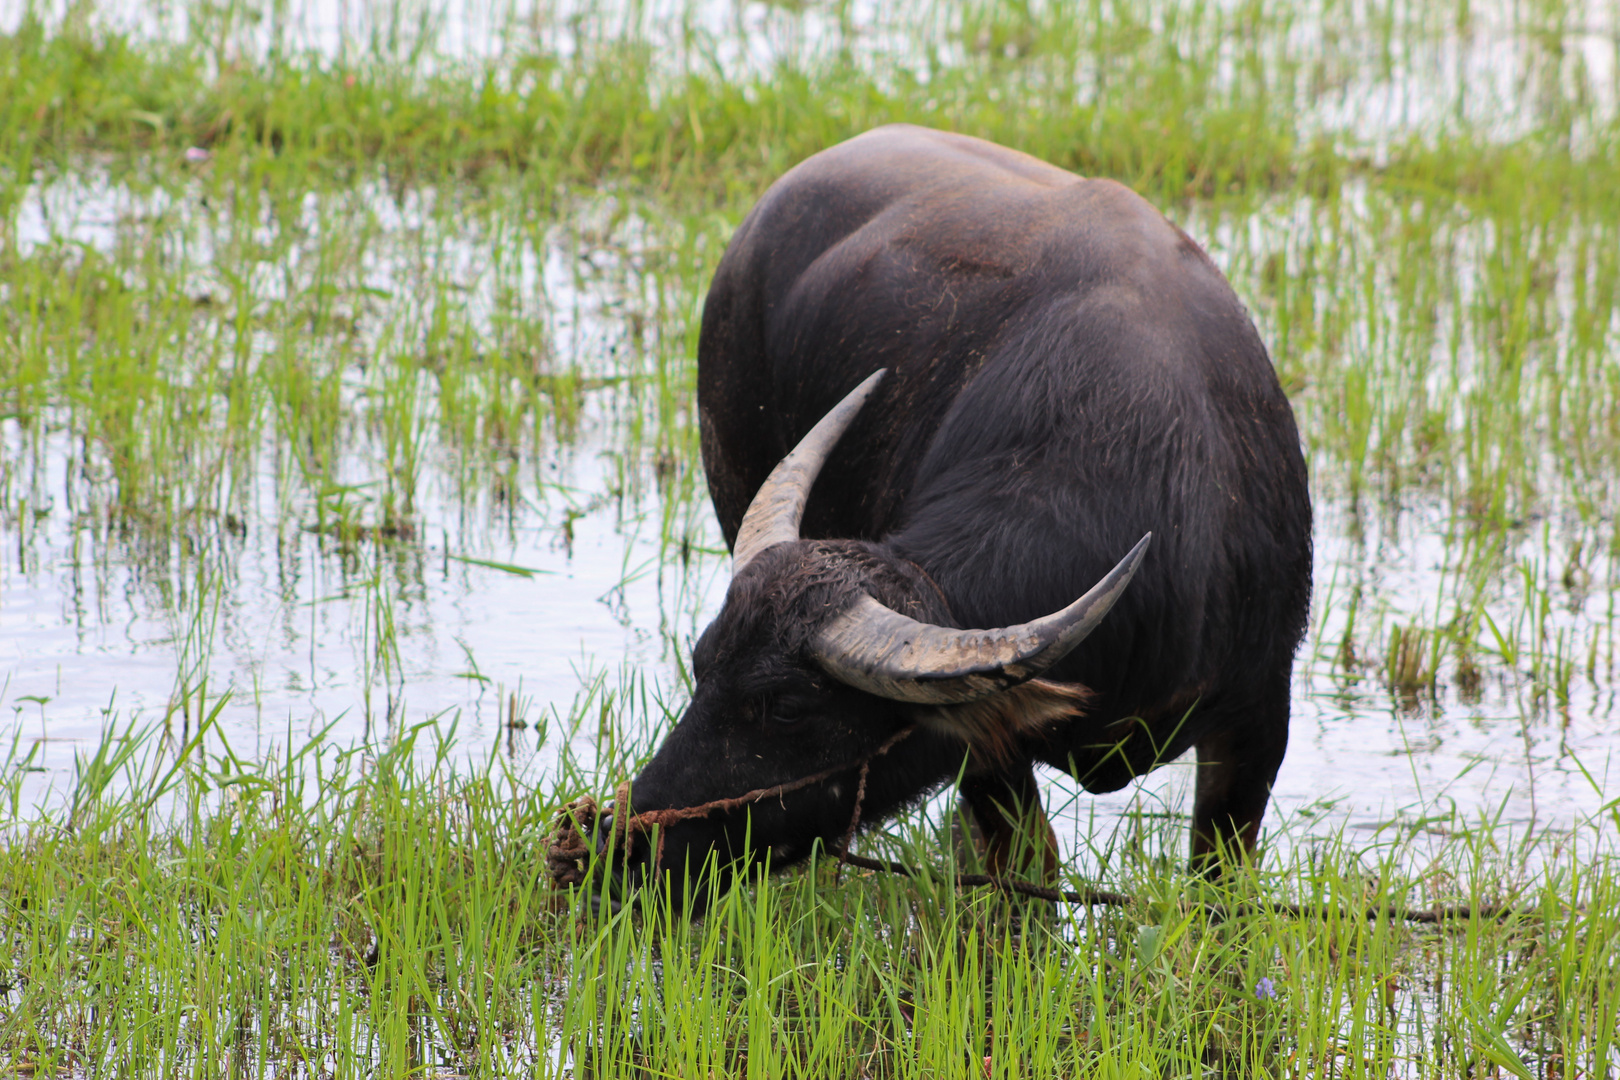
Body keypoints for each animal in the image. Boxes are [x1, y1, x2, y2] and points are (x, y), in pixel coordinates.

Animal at [602, 122, 1308, 906]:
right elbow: (1031, 867)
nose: (631, 840)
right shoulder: (987, 754)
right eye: (702, 664)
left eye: (786, 705)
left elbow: (1220, 884)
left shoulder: (1258, 714)